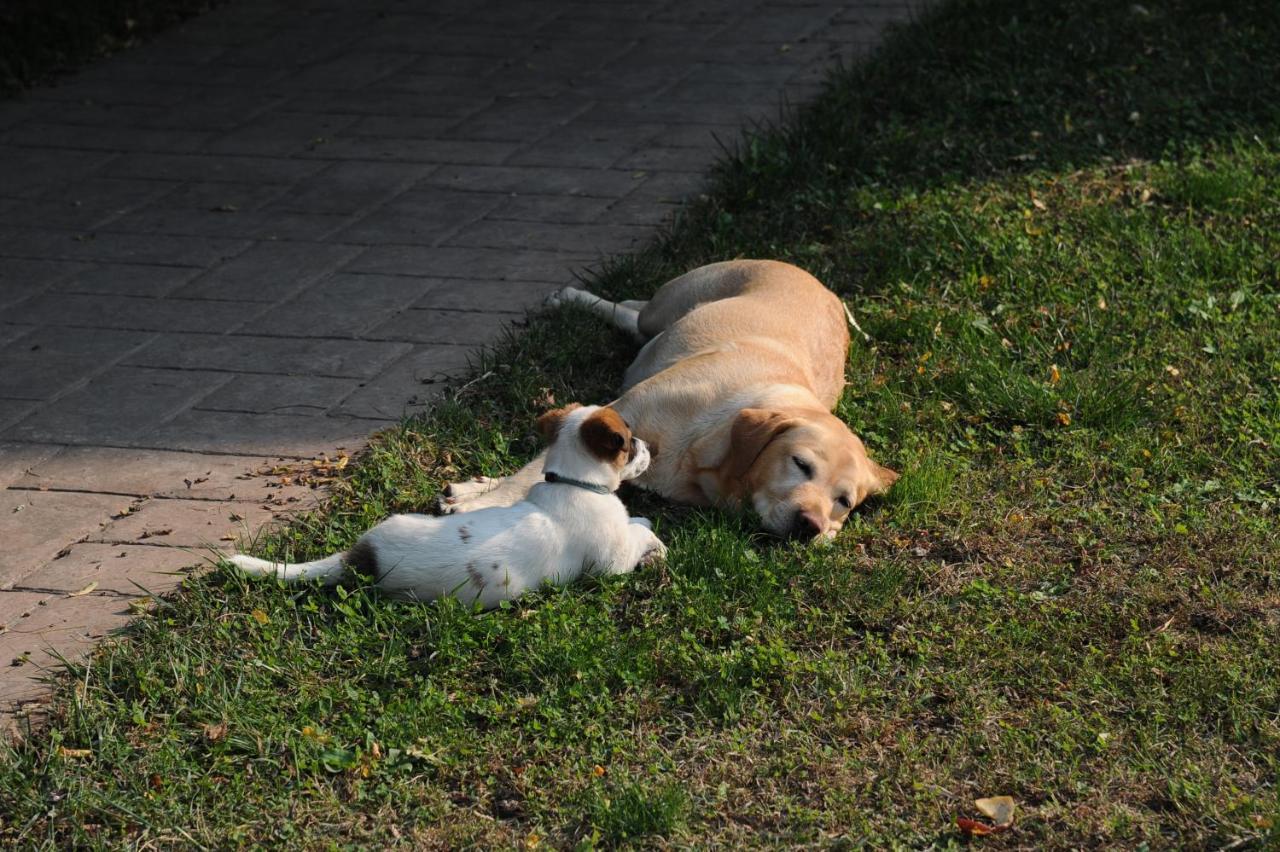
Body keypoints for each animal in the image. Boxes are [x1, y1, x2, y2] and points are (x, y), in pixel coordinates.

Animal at [230, 404, 665, 606]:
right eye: (630, 442)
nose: (650, 448)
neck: (575, 483)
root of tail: (361, 557)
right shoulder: (610, 563)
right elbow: (639, 532)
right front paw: (651, 537)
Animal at [442, 257, 901, 537]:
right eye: (800, 464)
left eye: (844, 502)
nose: (811, 526)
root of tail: (825, 287)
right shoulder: (618, 411)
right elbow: (529, 474)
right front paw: (480, 501)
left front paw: (477, 490)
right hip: (667, 306)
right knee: (630, 310)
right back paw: (572, 298)